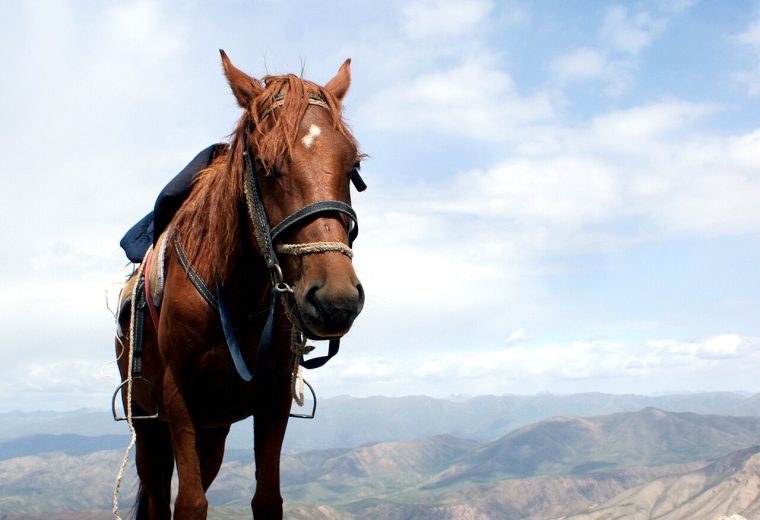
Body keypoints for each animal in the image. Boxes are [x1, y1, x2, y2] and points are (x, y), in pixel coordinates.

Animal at [114, 50, 365, 519]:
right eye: (266, 166)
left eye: (353, 166)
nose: (336, 300)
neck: (236, 295)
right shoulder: (178, 401)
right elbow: (190, 504)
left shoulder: (272, 401)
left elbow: (267, 498)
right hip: (148, 426)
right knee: (157, 497)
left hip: (213, 432)